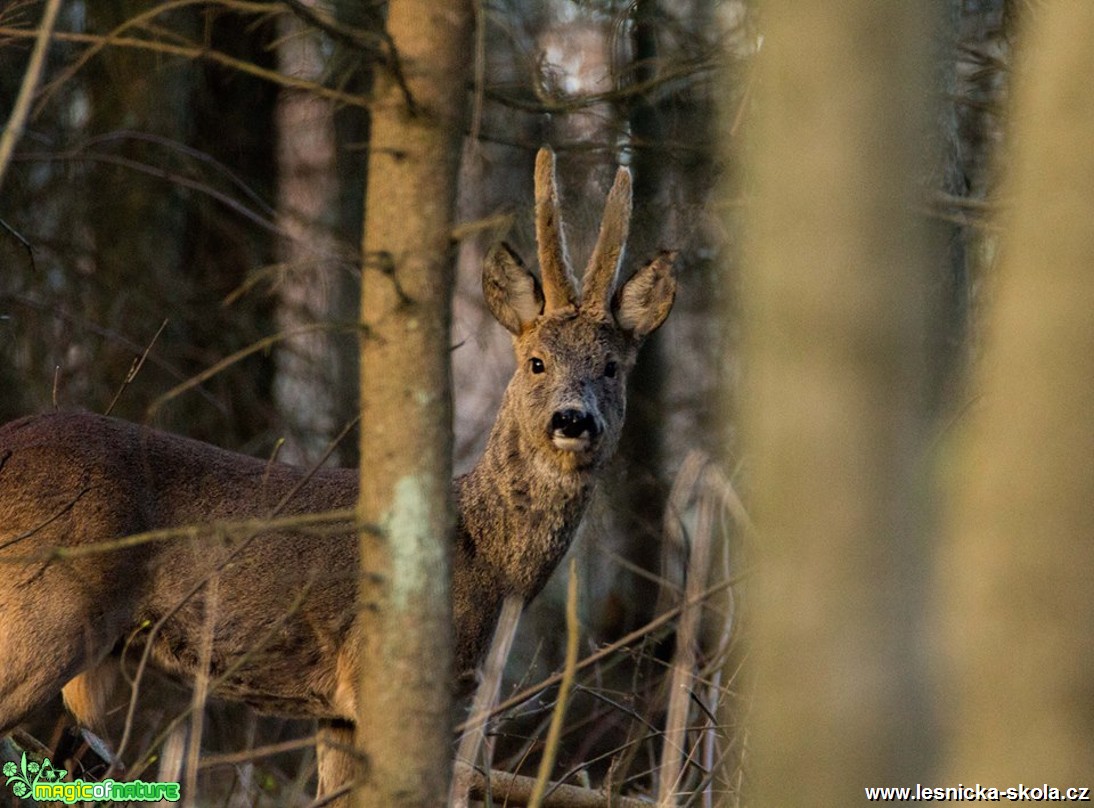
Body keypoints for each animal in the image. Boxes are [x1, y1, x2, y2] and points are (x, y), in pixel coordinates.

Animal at [0, 146, 673, 804]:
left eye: (611, 367)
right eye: (536, 362)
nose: (572, 419)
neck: (484, 552)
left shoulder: (340, 713)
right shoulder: (389, 684)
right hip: (45, 609)